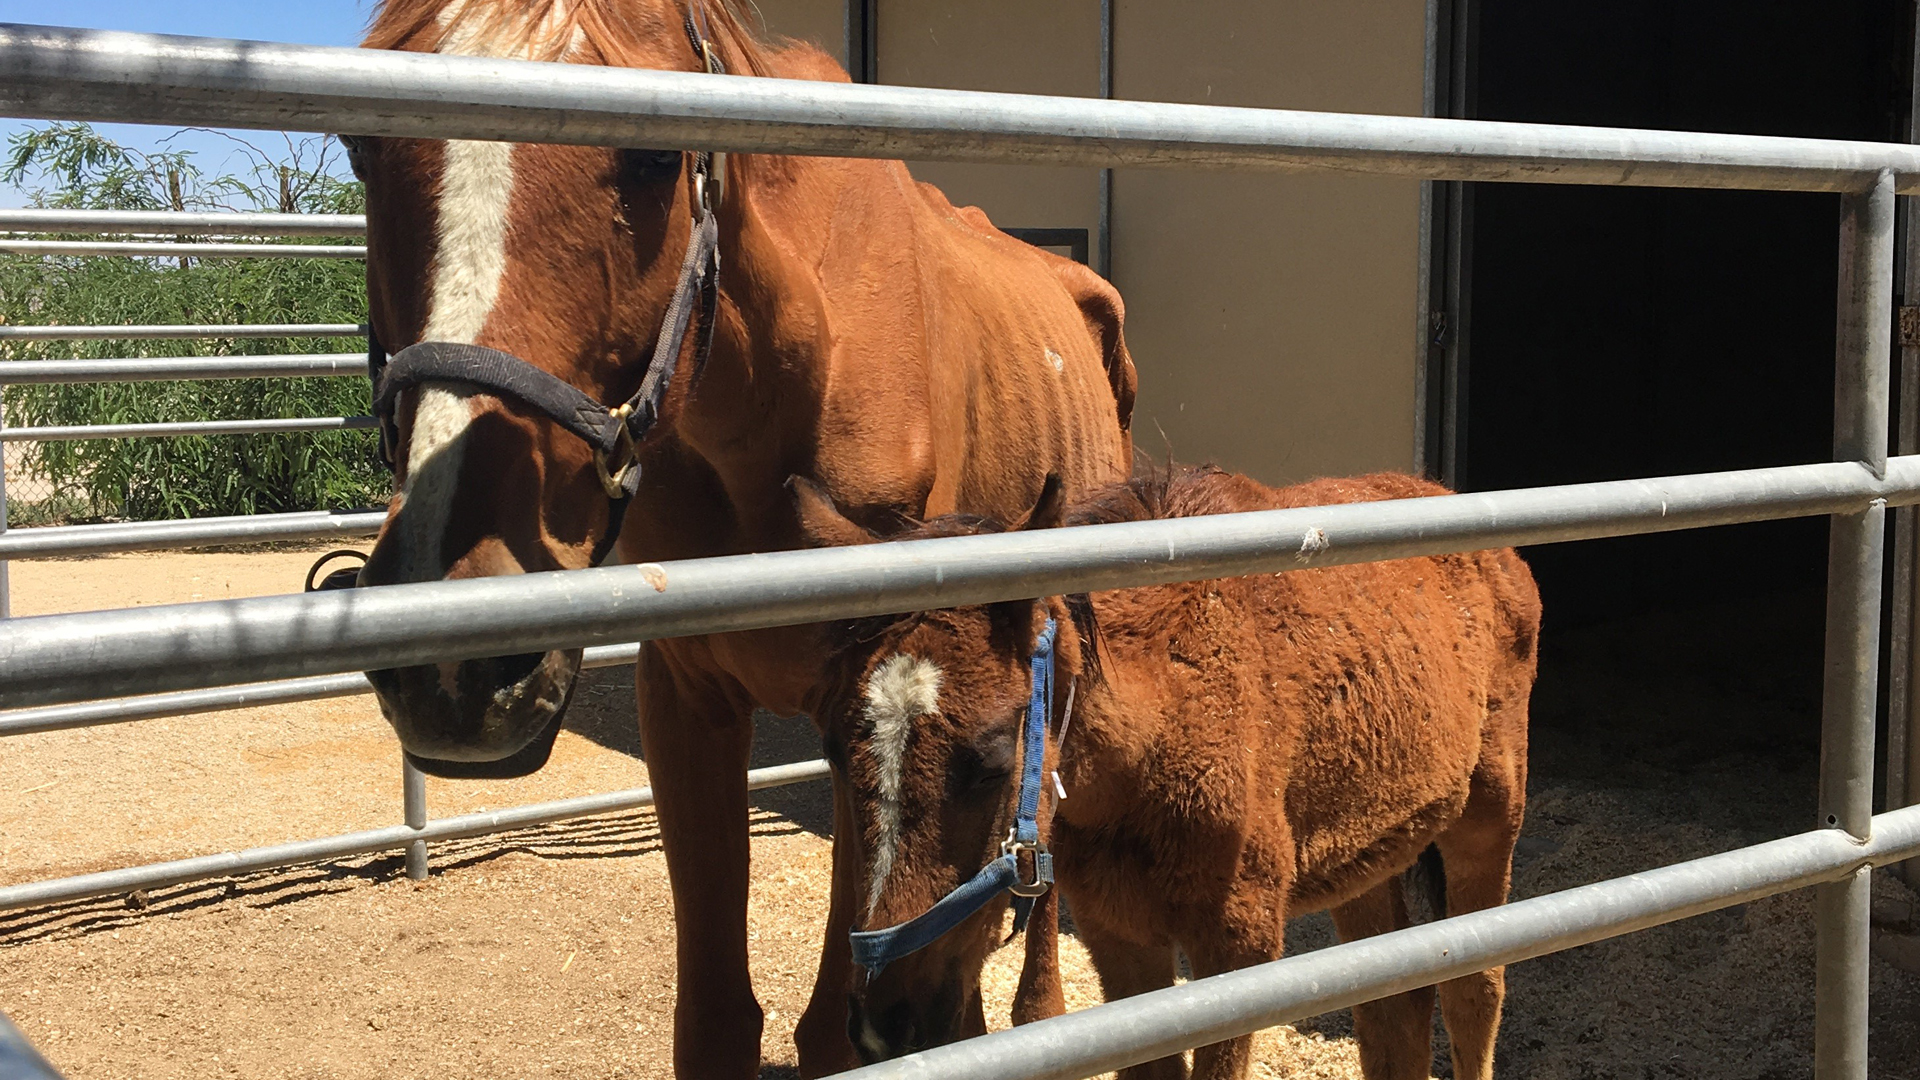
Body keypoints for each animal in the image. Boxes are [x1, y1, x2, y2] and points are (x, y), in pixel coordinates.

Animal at [347, 4, 1128, 1068]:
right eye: (361, 149)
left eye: (651, 158)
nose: (457, 665)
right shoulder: (692, 700)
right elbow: (718, 1021)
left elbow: (840, 1026)